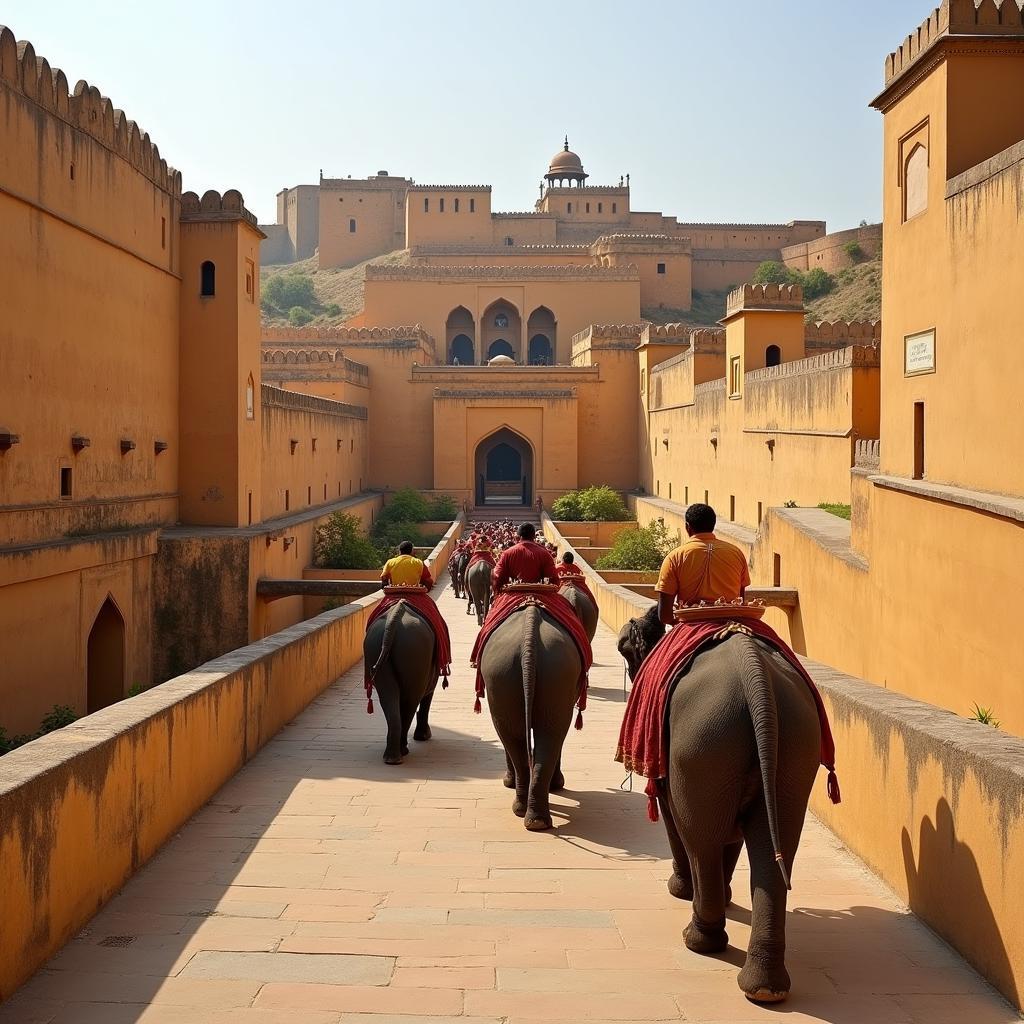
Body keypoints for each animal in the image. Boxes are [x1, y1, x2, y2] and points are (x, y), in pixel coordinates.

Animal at [362, 598, 438, 761]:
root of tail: (392, 622)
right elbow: (429, 693)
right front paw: (424, 736)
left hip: (375, 645)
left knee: (387, 697)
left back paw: (391, 756)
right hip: (415, 649)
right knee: (411, 699)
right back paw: (402, 750)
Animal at [475, 602, 581, 827]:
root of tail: (529, 641)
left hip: (508, 673)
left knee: (520, 734)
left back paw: (527, 812)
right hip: (529, 673)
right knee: (545, 734)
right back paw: (535, 819)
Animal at [614, 610, 823, 1003]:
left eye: (624, 648)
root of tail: (756, 677)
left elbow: (672, 811)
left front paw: (680, 890)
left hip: (700, 743)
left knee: (701, 838)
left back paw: (699, 939)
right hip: (793, 746)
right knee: (776, 846)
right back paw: (765, 989)